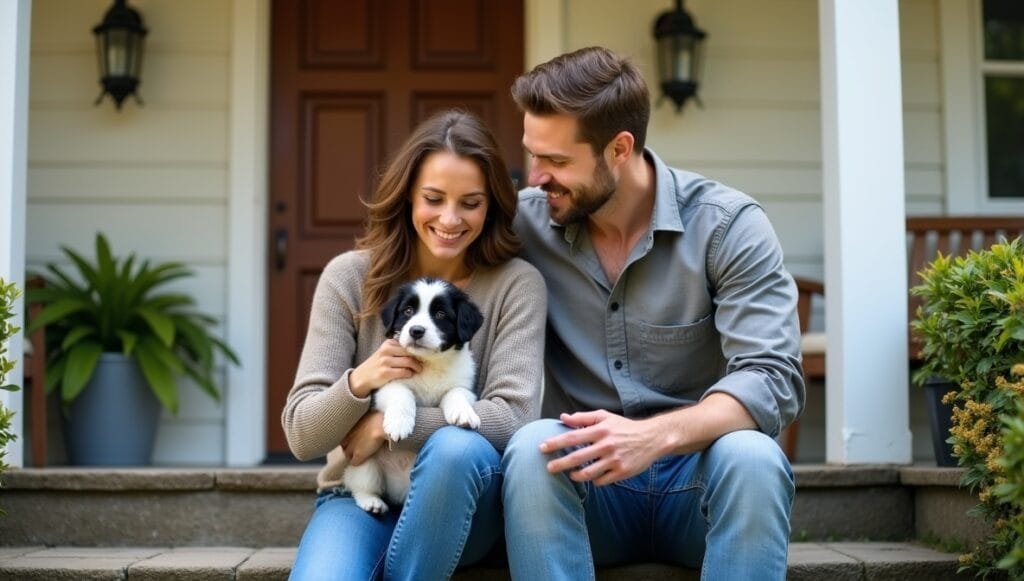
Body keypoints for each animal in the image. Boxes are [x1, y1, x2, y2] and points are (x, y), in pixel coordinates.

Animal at [344, 276, 483, 514]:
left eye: (440, 314)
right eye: (408, 311)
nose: (416, 331)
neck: (429, 362)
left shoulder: (465, 385)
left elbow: (455, 393)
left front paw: (464, 415)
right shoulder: (384, 385)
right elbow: (402, 393)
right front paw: (399, 424)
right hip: (366, 464)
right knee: (360, 485)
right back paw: (372, 502)